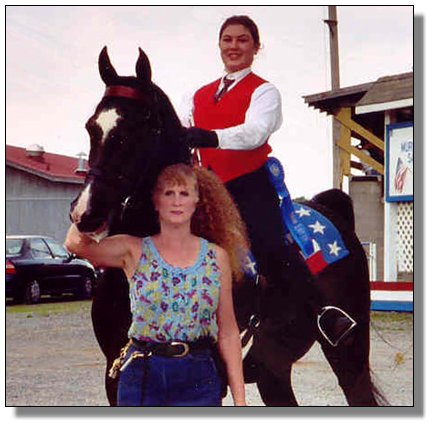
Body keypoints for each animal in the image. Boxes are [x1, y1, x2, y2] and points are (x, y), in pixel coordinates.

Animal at [70, 46, 388, 406]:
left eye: (141, 126)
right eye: (92, 127)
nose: (87, 212)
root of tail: (332, 211)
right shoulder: (116, 373)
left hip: (348, 355)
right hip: (273, 369)